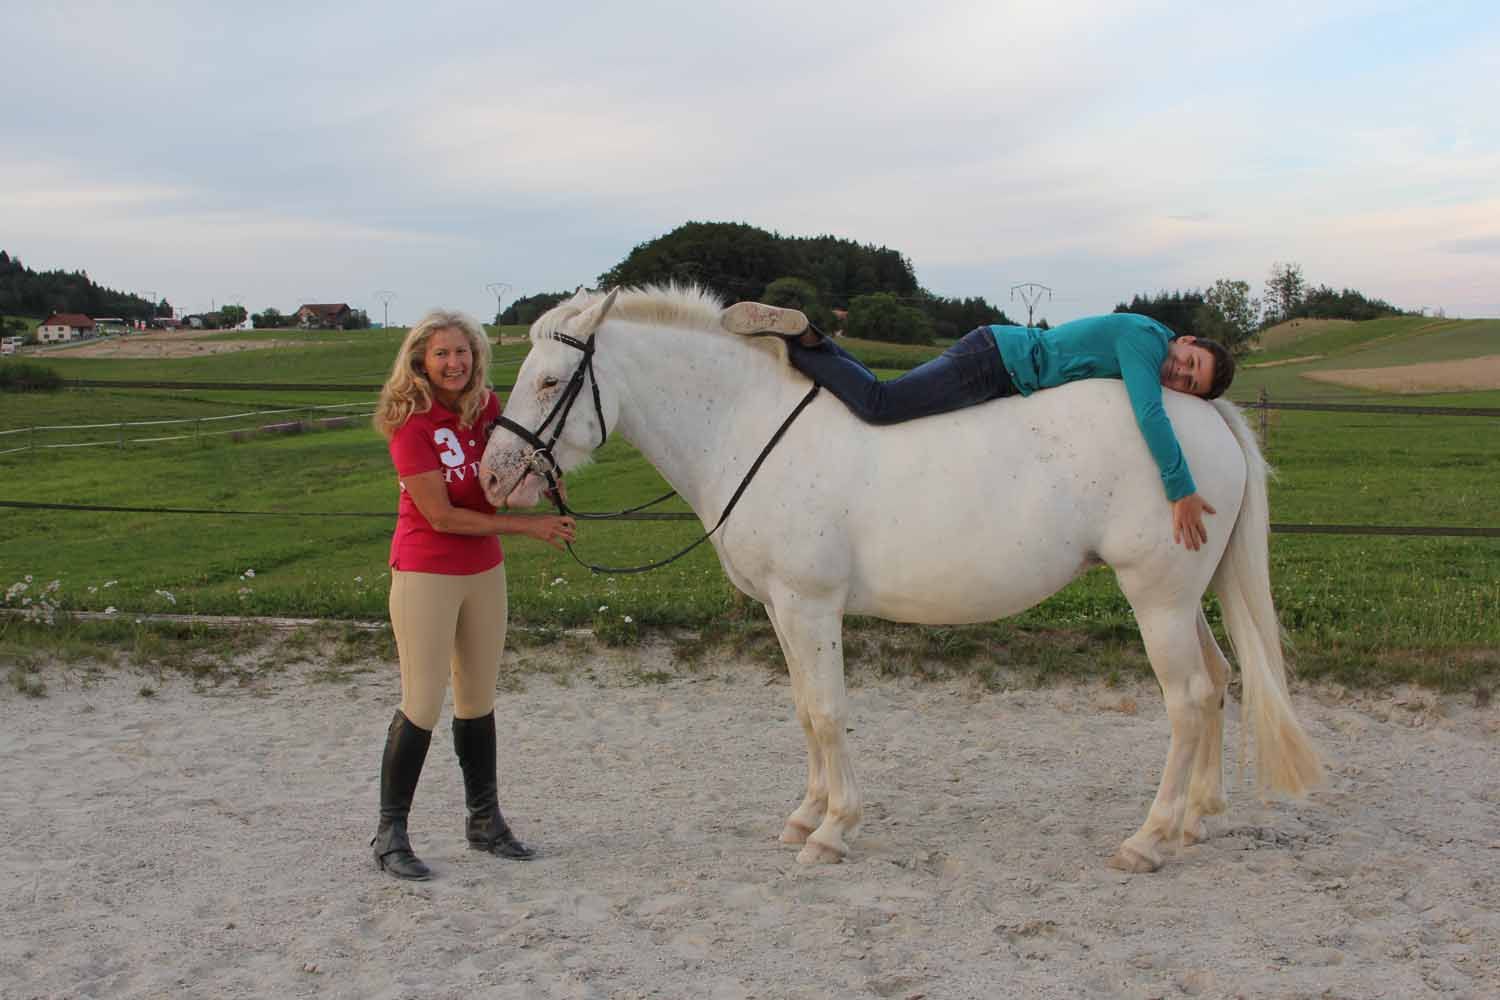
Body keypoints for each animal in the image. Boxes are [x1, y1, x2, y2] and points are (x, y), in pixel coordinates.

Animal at [479, 285, 1323, 871]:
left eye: (550, 381)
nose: (491, 476)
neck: (749, 428)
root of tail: (1202, 413)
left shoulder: (811, 605)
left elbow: (827, 713)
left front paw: (832, 831)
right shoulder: (782, 611)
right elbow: (803, 710)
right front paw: (806, 814)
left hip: (1157, 598)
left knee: (1188, 700)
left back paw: (1147, 839)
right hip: (1186, 598)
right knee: (1219, 682)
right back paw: (1193, 820)